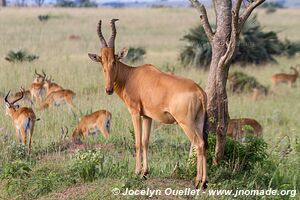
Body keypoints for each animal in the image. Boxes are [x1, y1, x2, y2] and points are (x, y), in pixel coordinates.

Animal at [88, 19, 207, 189]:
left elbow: (137, 141)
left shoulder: (135, 113)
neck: (131, 75)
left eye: (114, 60)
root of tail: (198, 90)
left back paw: (198, 181)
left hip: (186, 123)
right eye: (102, 62)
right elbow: (145, 141)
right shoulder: (147, 116)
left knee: (198, 143)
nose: (108, 89)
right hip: (199, 120)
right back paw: (204, 181)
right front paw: (145, 172)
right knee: (203, 143)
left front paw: (137, 172)